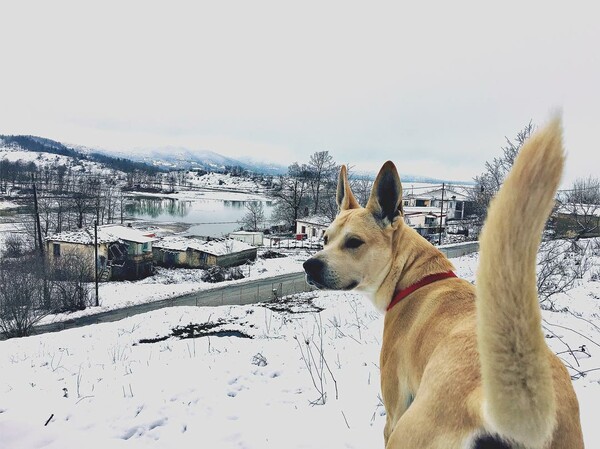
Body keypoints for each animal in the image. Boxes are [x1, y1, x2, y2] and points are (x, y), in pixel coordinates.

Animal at [302, 116, 584, 448]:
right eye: (325, 239)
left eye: (354, 242)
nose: (309, 266)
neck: (416, 277)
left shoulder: (394, 409)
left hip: (411, 429)